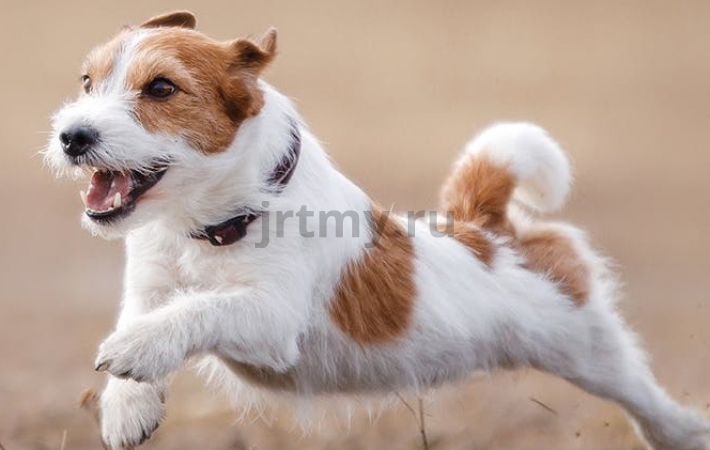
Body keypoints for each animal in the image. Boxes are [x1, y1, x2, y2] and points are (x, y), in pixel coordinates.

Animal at [46, 9, 710, 450]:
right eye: (87, 82)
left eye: (161, 88)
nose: (72, 135)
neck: (212, 223)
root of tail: (488, 229)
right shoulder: (150, 284)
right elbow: (148, 313)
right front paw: (128, 405)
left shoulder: (270, 319)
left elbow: (197, 309)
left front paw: (136, 352)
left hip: (592, 351)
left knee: (648, 402)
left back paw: (684, 430)